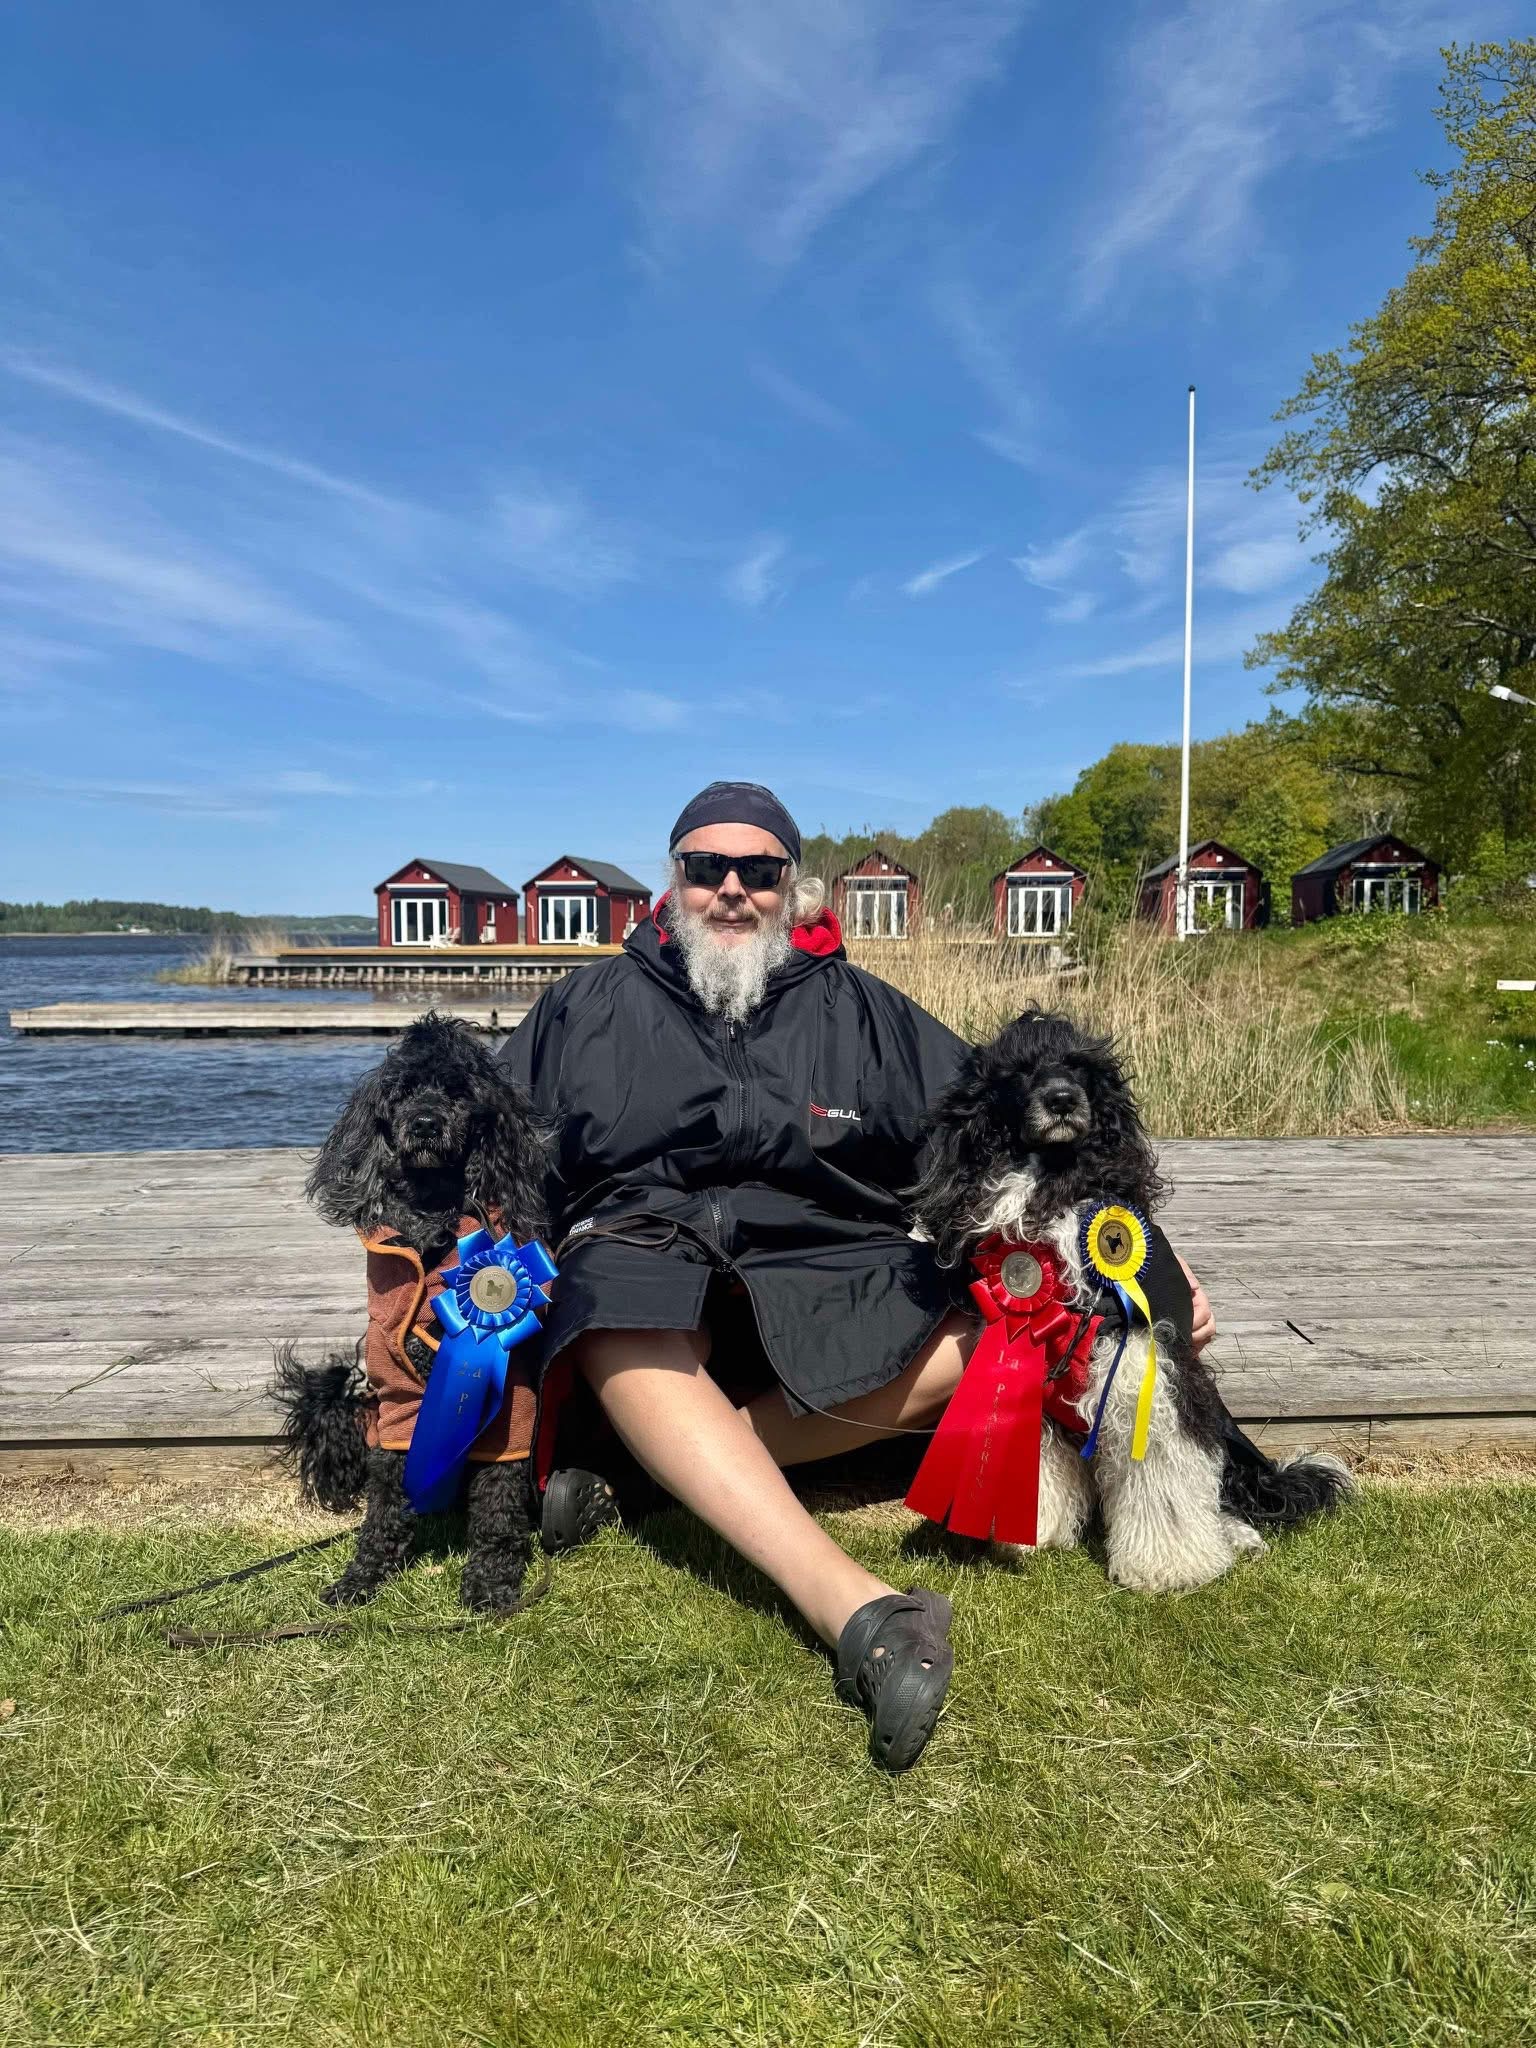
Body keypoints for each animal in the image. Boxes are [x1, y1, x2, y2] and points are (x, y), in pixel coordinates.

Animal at [272, 1011, 553, 1612]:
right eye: (400, 1093)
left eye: (458, 1092)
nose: (424, 1124)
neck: (432, 1223)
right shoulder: (397, 1396)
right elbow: (385, 1501)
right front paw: (361, 1577)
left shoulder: (512, 1409)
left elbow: (498, 1504)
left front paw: (491, 1584)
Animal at [912, 1006, 1351, 1593]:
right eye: (1020, 1071)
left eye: (1080, 1067)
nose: (1062, 1099)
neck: (1055, 1185)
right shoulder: (1025, 1362)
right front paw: (1033, 1533)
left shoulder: (1146, 1362)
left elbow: (1162, 1475)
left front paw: (1170, 1566)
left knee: (1230, 1494)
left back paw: (1238, 1535)